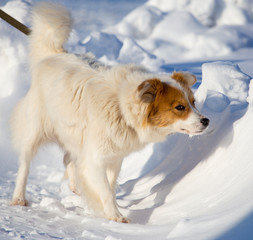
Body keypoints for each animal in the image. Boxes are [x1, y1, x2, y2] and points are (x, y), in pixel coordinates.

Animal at [10, 2, 210, 223]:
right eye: (180, 107)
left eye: (193, 102)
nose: (206, 121)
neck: (121, 108)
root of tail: (55, 54)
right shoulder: (96, 158)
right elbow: (104, 189)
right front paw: (115, 215)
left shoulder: (115, 157)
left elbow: (111, 185)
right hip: (35, 129)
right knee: (25, 164)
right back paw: (19, 197)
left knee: (69, 159)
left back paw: (75, 186)